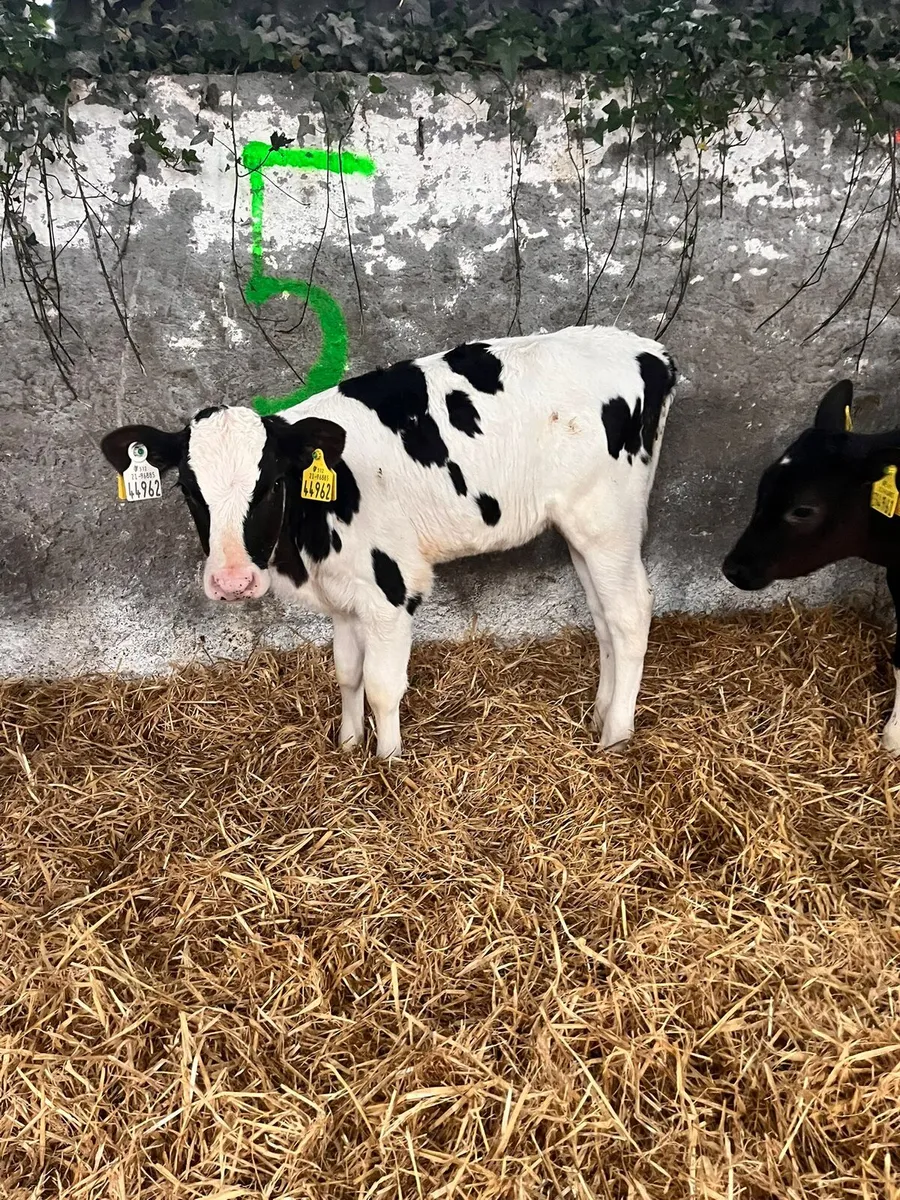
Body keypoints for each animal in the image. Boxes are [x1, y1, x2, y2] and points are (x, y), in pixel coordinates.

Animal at [101, 325, 677, 758]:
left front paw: (388, 761)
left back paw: (615, 735)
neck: (308, 544)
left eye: (270, 482)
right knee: (602, 615)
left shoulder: (391, 590)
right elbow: (347, 673)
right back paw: (600, 712)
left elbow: (382, 685)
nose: (232, 581)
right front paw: (348, 744)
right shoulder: (343, 596)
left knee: (630, 613)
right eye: (187, 488)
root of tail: (647, 351)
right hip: (581, 531)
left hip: (609, 521)